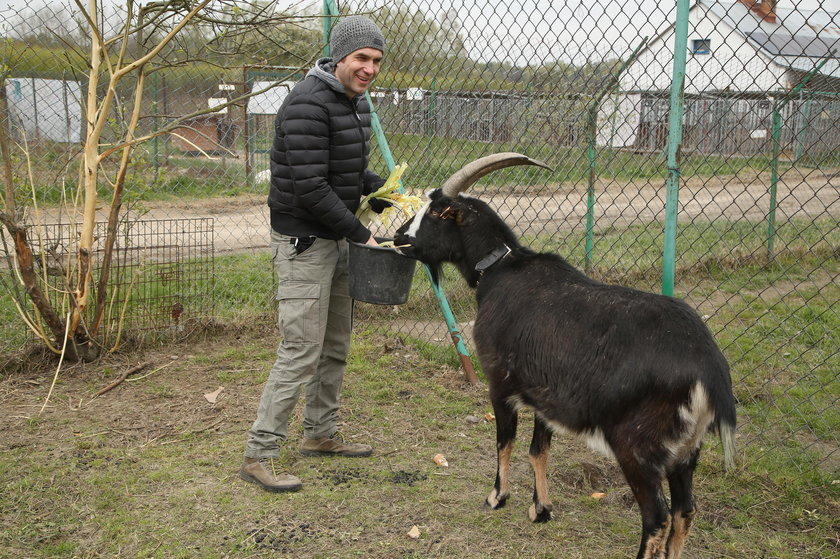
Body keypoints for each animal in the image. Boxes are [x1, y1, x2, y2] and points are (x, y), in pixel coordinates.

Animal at [394, 153, 736, 559]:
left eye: (436, 212)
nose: (398, 236)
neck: (500, 269)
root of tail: (707, 367)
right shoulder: (545, 397)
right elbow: (538, 450)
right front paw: (540, 509)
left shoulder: (500, 383)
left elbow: (505, 441)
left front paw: (497, 498)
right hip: (686, 449)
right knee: (686, 511)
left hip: (637, 446)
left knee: (658, 517)